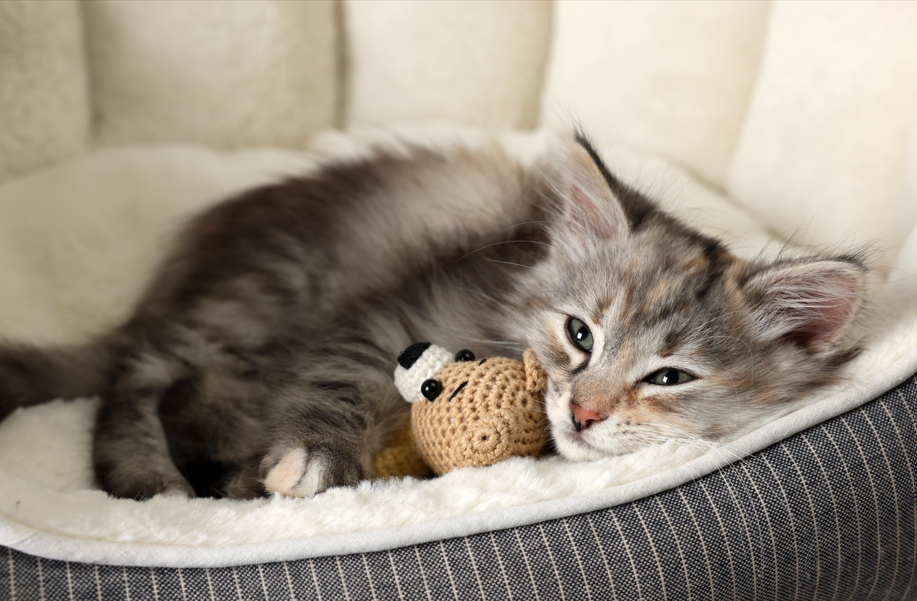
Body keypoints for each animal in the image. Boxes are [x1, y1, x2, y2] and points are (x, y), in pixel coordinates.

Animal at [0, 134, 864, 500]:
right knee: (136, 378)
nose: (583, 413)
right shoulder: (388, 316)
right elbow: (333, 385)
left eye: (668, 377)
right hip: (257, 300)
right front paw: (308, 461)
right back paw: (152, 476)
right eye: (579, 334)